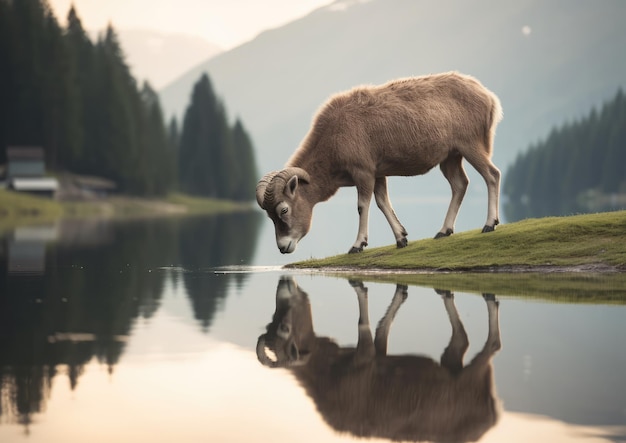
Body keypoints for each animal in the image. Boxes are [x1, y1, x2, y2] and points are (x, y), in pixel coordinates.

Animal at [256, 71, 500, 255]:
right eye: (269, 215)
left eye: (284, 210)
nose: (283, 246)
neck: (334, 133)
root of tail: (488, 97)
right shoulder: (378, 173)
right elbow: (383, 202)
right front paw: (401, 238)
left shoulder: (363, 172)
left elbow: (363, 205)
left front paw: (357, 245)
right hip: (451, 156)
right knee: (460, 184)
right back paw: (444, 231)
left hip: (471, 145)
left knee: (492, 175)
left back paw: (489, 224)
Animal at [256, 278, 500, 443]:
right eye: (271, 323)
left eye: (284, 328)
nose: (283, 285)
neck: (326, 376)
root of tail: (491, 419)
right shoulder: (377, 353)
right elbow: (382, 331)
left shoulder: (364, 356)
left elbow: (365, 326)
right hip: (453, 362)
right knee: (461, 342)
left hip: (472, 375)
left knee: (492, 346)